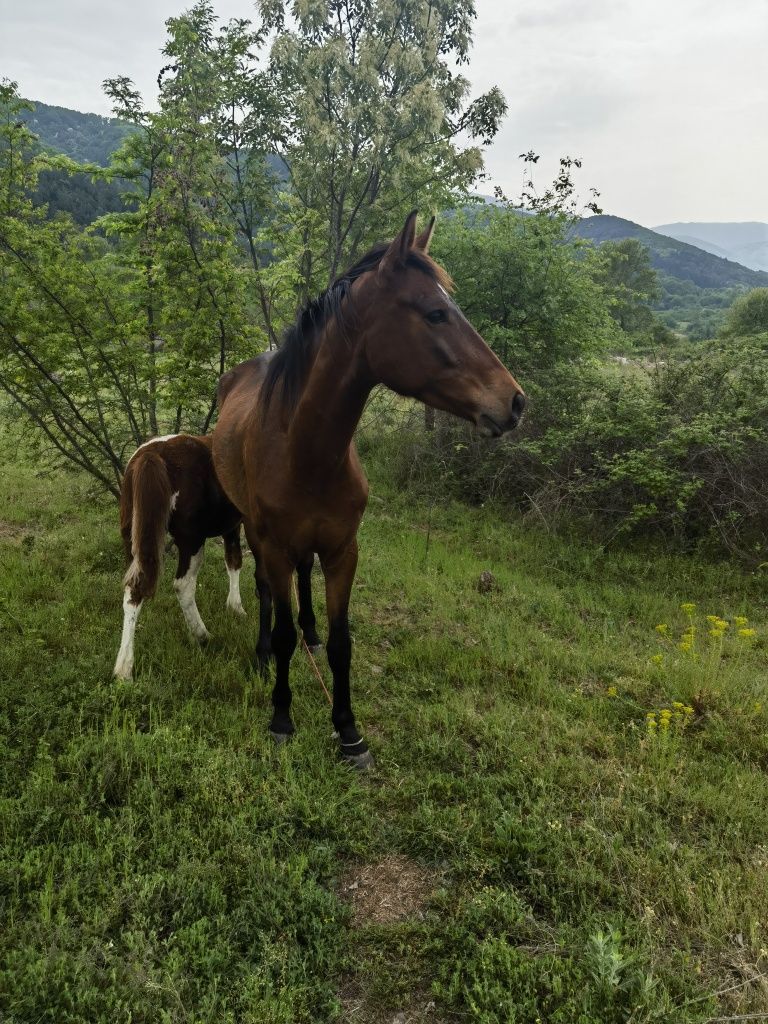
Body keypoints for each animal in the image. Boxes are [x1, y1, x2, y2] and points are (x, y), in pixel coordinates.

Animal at [211, 209, 524, 770]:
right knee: (267, 591)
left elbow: (341, 643)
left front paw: (348, 731)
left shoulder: (343, 550)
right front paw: (282, 718)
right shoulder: (274, 544)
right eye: (435, 314)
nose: (514, 402)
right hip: (254, 531)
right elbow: (283, 628)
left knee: (304, 582)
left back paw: (308, 634)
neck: (306, 451)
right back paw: (263, 654)